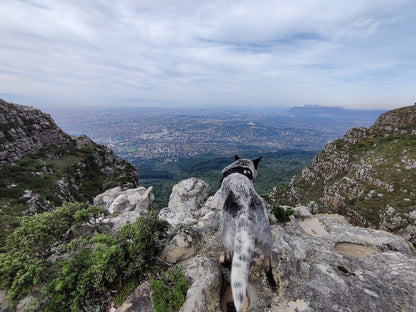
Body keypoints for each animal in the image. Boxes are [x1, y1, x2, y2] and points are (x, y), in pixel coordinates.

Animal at [219, 155, 278, 312]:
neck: (241, 168)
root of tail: (246, 217)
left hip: (226, 233)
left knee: (228, 256)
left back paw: (224, 262)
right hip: (266, 237)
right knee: (268, 263)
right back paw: (271, 281)